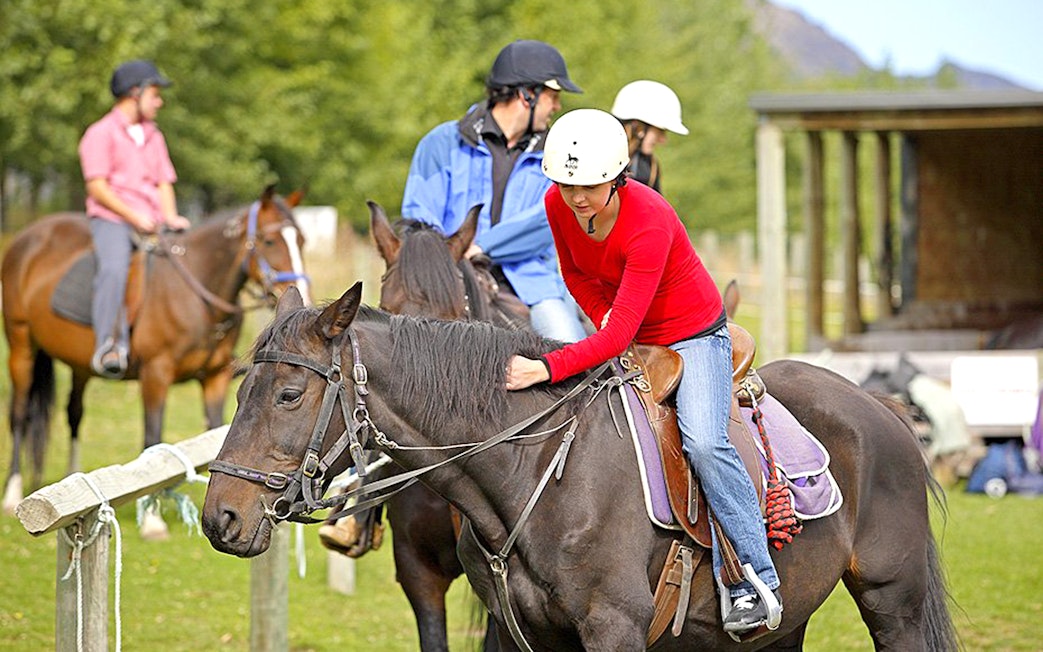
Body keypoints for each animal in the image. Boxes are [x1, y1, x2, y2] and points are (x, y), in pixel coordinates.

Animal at [2, 185, 311, 515]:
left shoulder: (214, 377)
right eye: (269, 241)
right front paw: (152, 517)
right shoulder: (155, 374)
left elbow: (216, 432)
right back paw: (12, 492)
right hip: (21, 345)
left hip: (80, 365)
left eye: (301, 240)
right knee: (19, 414)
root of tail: (30, 236)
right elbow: (153, 441)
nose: (301, 295)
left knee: (74, 412)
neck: (197, 294)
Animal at [203, 283, 958, 651]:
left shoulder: (611, 630)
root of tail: (879, 406)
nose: (221, 517)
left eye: (288, 394)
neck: (535, 472)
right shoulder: (523, 634)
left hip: (893, 604)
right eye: (239, 391)